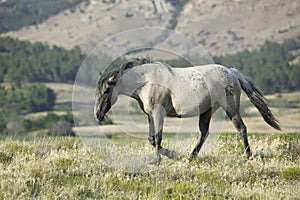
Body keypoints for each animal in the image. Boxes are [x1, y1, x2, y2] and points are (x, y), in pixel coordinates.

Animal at [94, 57, 282, 164]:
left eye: (106, 91)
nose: (98, 115)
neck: (147, 81)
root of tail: (232, 72)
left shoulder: (158, 113)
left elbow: (158, 137)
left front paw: (158, 160)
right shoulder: (150, 115)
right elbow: (152, 138)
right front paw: (172, 154)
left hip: (231, 108)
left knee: (241, 128)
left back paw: (248, 156)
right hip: (207, 111)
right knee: (204, 133)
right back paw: (191, 157)